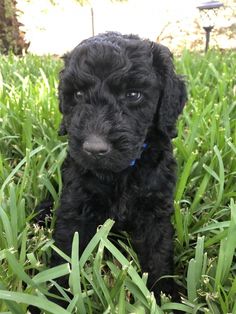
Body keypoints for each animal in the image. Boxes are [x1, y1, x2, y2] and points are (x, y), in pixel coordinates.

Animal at [51, 31, 186, 306]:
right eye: (78, 95)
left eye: (133, 95)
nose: (94, 148)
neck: (120, 173)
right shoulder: (75, 203)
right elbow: (66, 250)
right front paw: (56, 299)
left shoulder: (155, 210)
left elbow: (158, 252)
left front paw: (165, 297)